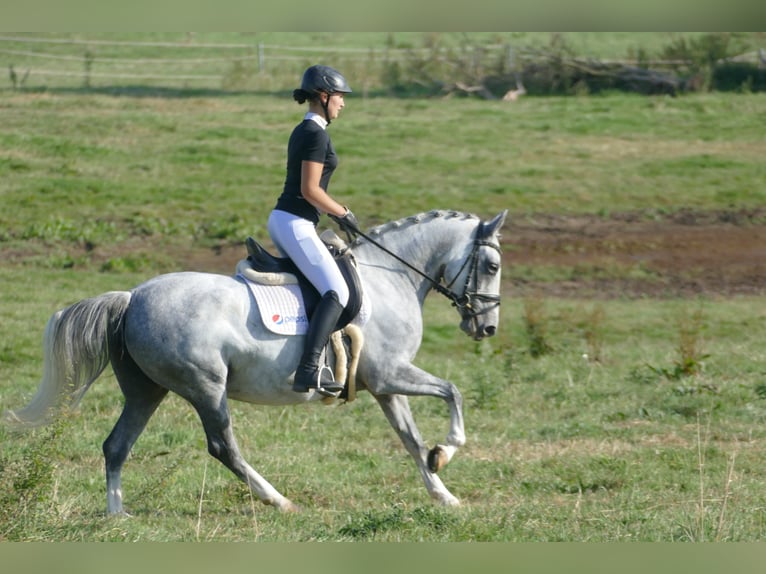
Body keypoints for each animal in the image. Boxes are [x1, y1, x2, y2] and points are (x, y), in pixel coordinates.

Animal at [7, 209, 510, 516]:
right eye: (491, 266)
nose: (487, 328)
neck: (393, 278)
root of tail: (131, 297)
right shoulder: (391, 374)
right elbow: (452, 392)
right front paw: (447, 450)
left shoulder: (384, 386)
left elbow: (410, 439)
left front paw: (443, 493)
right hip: (206, 387)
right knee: (222, 447)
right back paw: (279, 500)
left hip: (147, 391)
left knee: (116, 446)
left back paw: (117, 515)